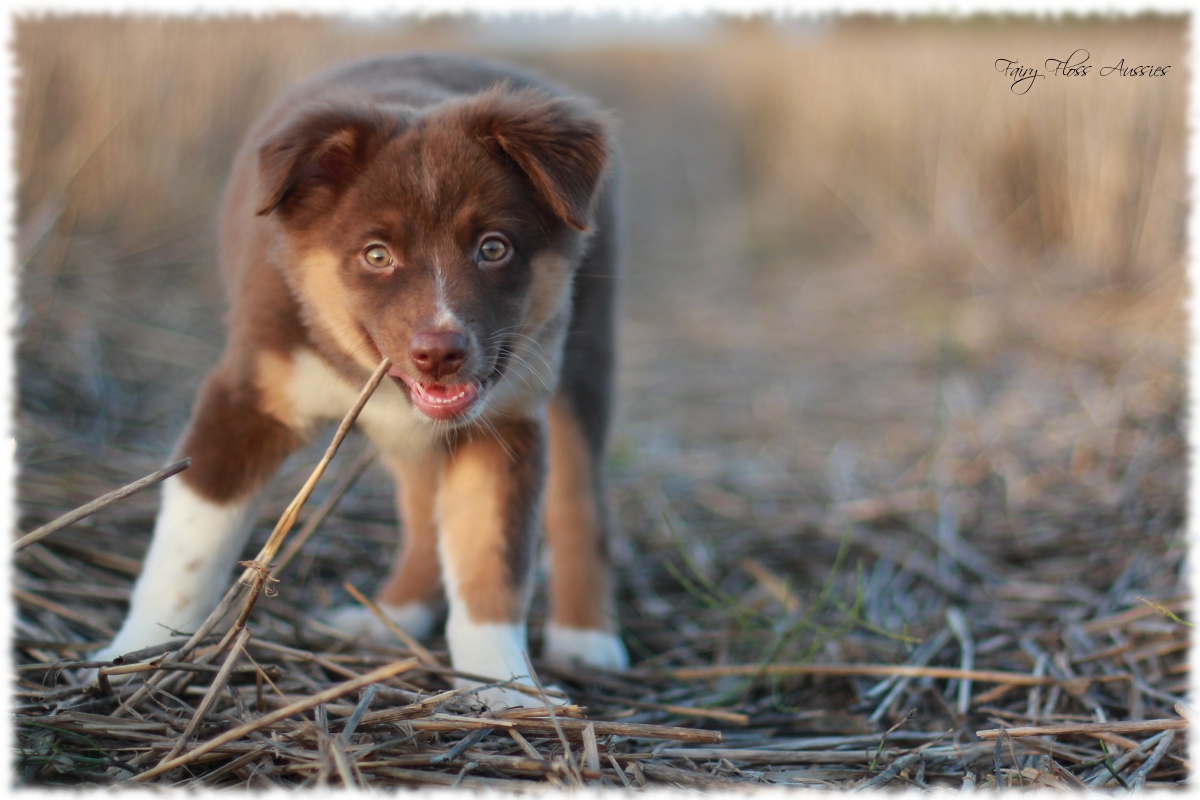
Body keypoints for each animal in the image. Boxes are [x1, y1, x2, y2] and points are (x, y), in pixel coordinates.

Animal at [96, 54, 628, 705]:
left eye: (493, 248)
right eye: (377, 255)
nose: (440, 353)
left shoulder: (503, 423)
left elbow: (490, 565)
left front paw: (508, 691)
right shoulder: (247, 396)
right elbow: (191, 542)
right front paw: (134, 654)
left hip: (581, 351)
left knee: (579, 500)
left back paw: (584, 637)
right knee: (423, 506)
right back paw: (394, 615)